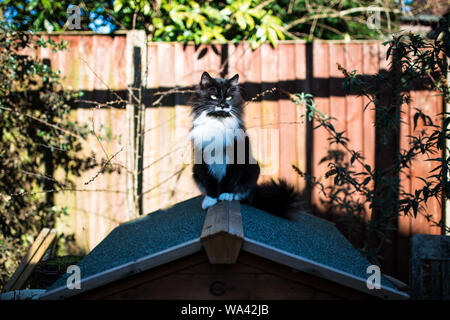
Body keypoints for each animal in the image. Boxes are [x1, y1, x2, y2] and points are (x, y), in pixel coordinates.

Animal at [189, 72, 298, 218]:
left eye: (229, 97)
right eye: (214, 96)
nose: (223, 105)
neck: (218, 122)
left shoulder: (235, 159)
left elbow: (229, 180)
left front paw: (225, 195)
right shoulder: (202, 160)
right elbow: (209, 182)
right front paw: (210, 201)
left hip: (253, 168)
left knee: (242, 193)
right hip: (195, 171)